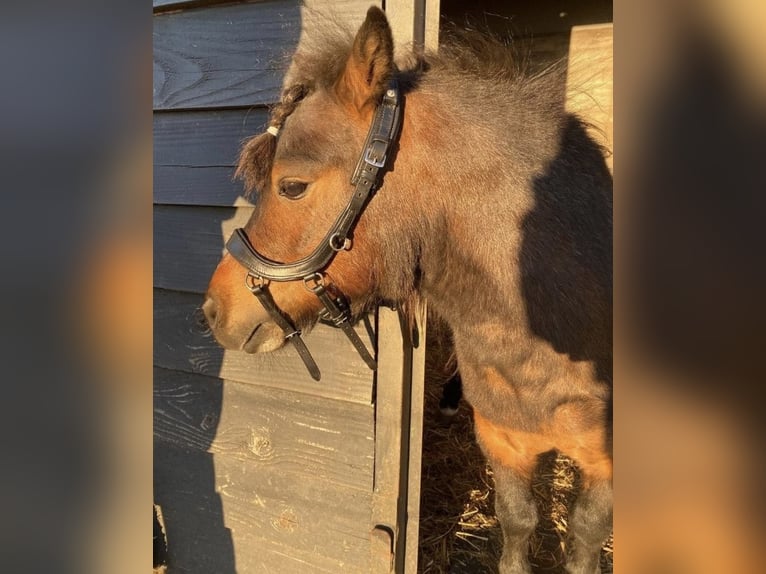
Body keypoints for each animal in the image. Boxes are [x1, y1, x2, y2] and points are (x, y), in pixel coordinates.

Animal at [202, 7, 612, 573]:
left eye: (292, 186)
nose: (213, 308)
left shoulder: (606, 468)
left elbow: (586, 540)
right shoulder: (505, 446)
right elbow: (518, 526)